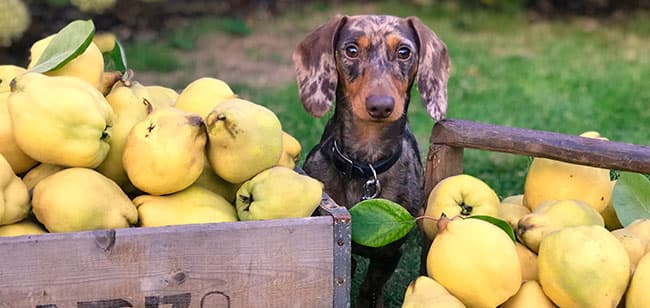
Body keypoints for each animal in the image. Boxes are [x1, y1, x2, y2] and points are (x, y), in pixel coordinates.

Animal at [292, 15, 448, 308]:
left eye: (404, 52)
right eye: (351, 50)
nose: (380, 106)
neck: (366, 165)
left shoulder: (389, 253)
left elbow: (371, 287)